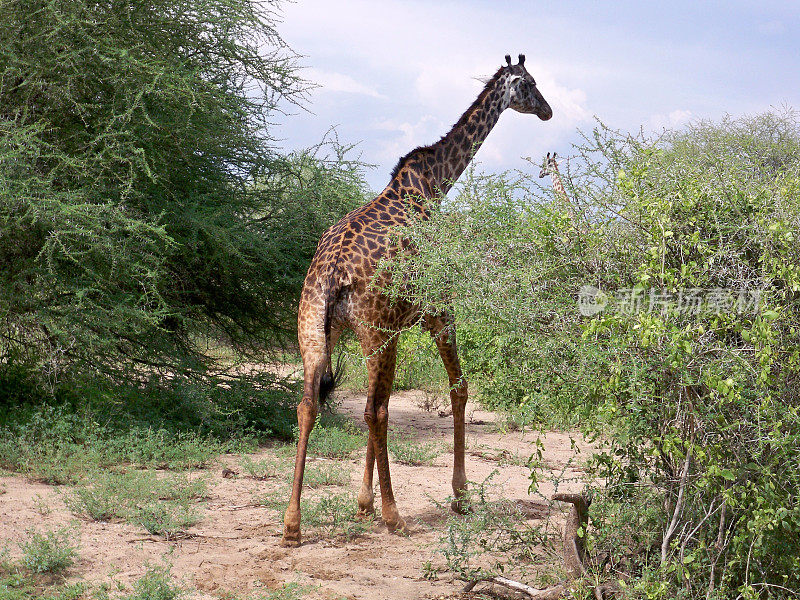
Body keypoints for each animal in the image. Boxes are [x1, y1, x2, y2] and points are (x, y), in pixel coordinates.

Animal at [282, 54, 552, 548]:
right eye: (531, 84)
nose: (549, 111)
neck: (436, 183)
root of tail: (332, 274)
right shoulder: (437, 310)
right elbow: (459, 388)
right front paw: (460, 495)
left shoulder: (397, 326)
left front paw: (362, 504)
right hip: (370, 332)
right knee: (374, 410)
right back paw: (396, 516)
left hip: (314, 329)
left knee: (310, 404)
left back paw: (293, 523)